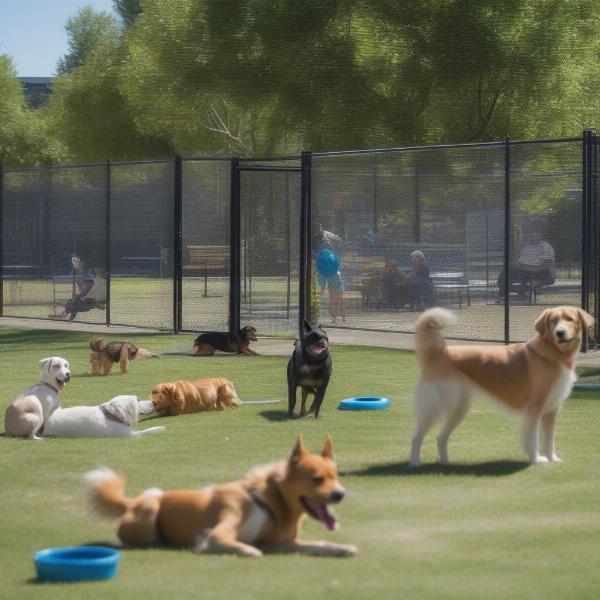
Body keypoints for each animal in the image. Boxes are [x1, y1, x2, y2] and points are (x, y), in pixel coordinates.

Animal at [84, 436, 356, 556]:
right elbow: (243, 547)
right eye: (317, 479)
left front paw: (342, 548)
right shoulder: (220, 533)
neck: (269, 500)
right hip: (150, 508)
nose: (340, 494)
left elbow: (319, 545)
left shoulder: (280, 542)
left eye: (336, 477)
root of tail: (131, 502)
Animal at [410, 304, 592, 468]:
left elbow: (549, 439)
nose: (559, 332)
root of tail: (437, 353)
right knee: (416, 437)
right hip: (435, 406)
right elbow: (533, 438)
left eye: (569, 319)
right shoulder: (534, 408)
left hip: (458, 409)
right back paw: (415, 464)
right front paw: (536, 460)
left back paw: (446, 463)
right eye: (553, 321)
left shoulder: (552, 409)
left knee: (441, 438)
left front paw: (552, 459)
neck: (552, 352)